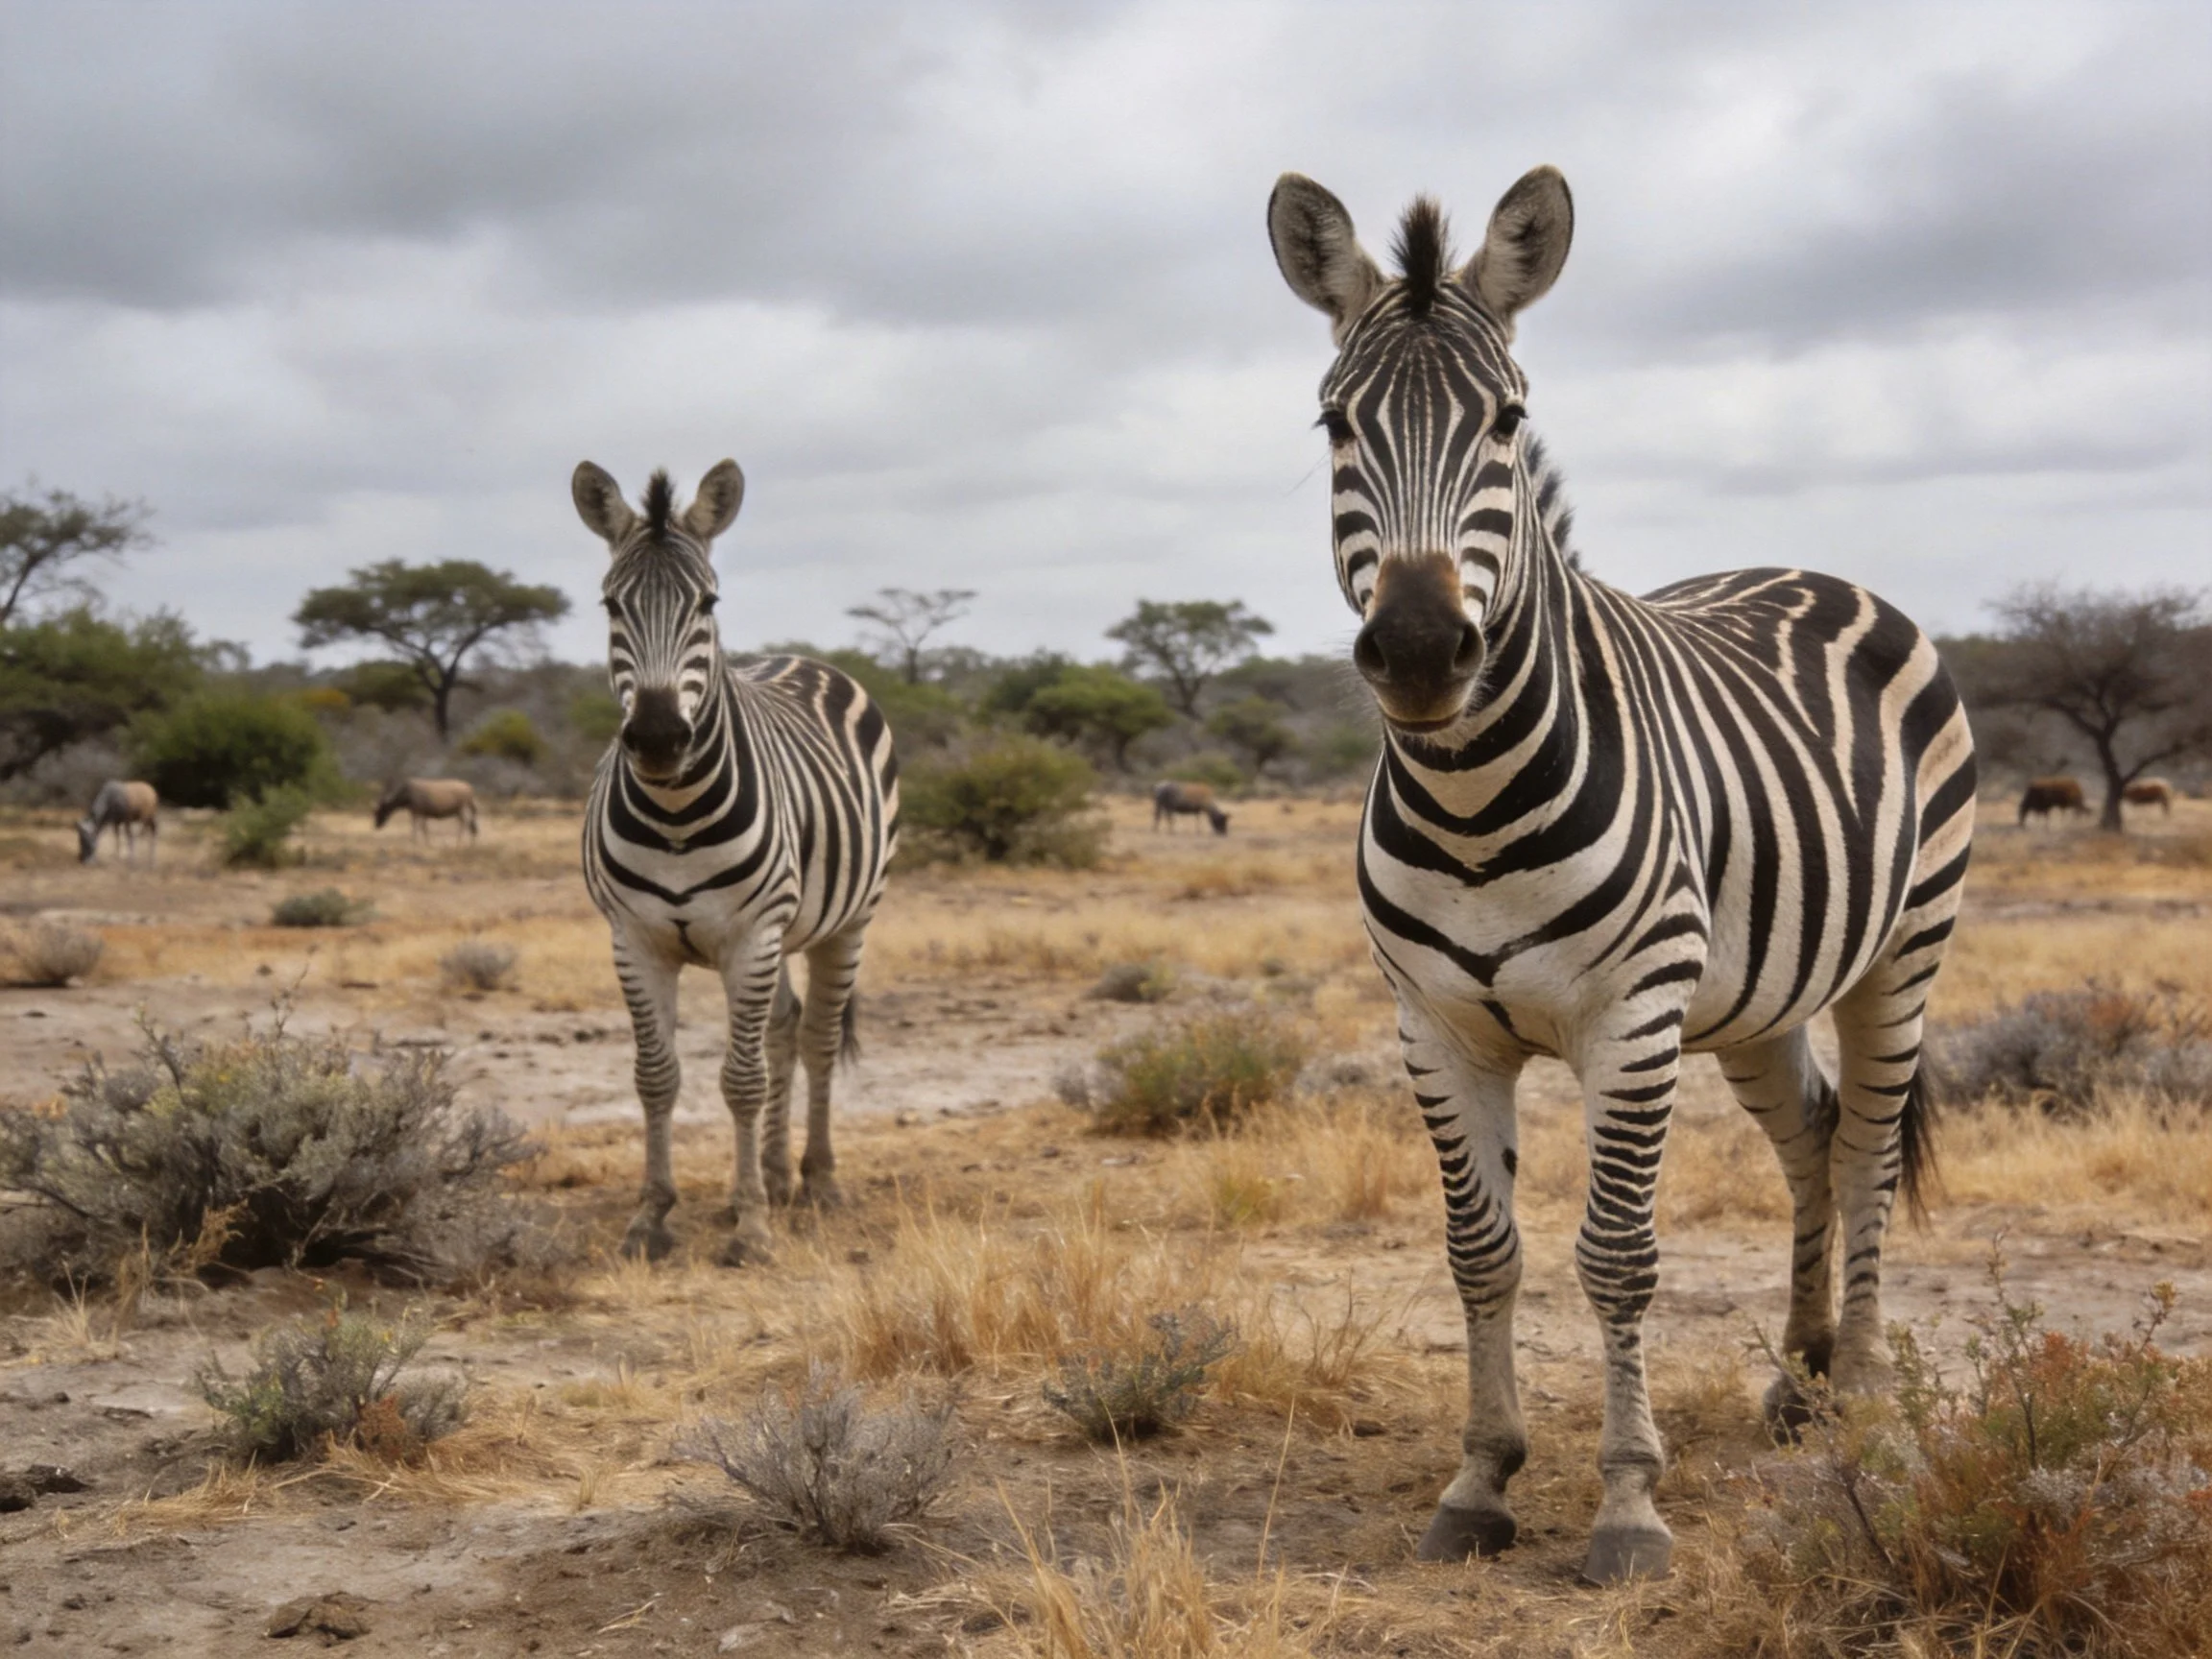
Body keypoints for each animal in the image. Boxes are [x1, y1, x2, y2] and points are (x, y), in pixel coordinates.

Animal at [571, 459, 899, 1266]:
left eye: (708, 602)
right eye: (610, 604)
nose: (659, 737)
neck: (676, 812)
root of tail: (801, 657)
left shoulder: (751, 936)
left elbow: (741, 1080)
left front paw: (751, 1227)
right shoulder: (635, 939)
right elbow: (656, 1077)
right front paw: (652, 1216)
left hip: (848, 920)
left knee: (815, 1038)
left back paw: (815, 1180)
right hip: (780, 932)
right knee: (783, 1026)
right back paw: (775, 1175)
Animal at [1268, 167, 1976, 1583]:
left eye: (1505, 420)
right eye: (1333, 423)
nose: (1419, 651)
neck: (1474, 802)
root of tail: (1815, 568)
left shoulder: (1630, 1019)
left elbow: (1617, 1257)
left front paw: (1629, 1506)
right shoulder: (1434, 1026)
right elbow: (1480, 1250)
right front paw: (1480, 1481)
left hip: (1902, 952)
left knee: (1867, 1147)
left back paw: (1868, 1390)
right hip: (1752, 999)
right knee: (1811, 1140)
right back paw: (1799, 1377)